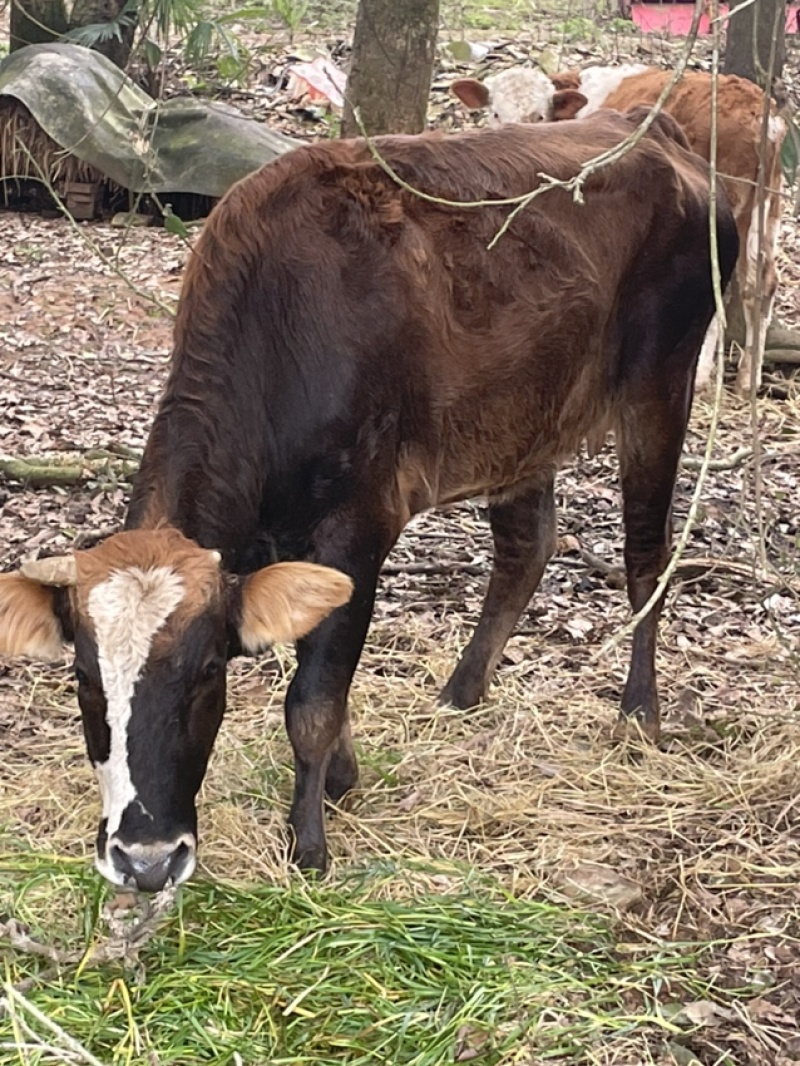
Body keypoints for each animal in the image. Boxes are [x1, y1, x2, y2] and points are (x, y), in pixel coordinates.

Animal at [0, 110, 738, 891]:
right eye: (84, 677)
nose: (145, 860)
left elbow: (312, 700)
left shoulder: (359, 523)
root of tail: (650, 130)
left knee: (646, 554)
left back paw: (639, 713)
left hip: (661, 384)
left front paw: (310, 844)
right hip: (521, 421)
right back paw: (461, 693)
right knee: (527, 547)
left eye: (208, 672)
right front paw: (341, 779)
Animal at [454, 66, 793, 394]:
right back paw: (749, 379)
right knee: (761, 283)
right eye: (495, 112)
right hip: (765, 205)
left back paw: (700, 376)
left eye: (539, 115)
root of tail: (760, 111)